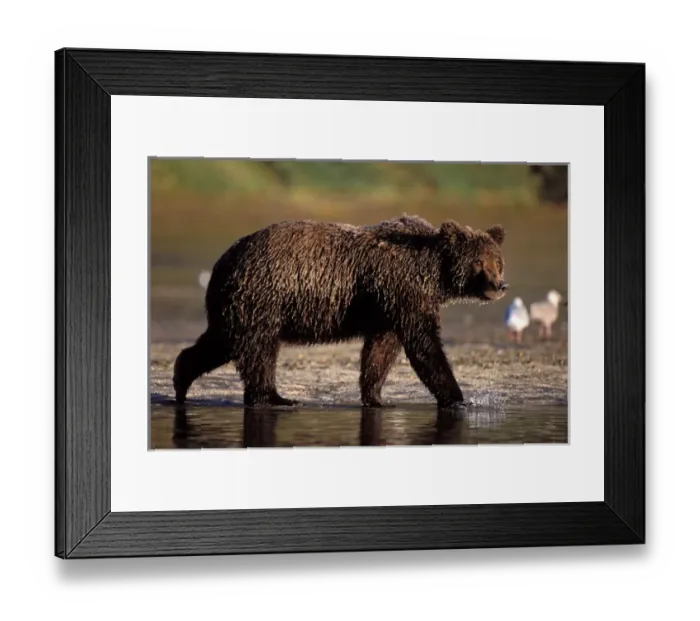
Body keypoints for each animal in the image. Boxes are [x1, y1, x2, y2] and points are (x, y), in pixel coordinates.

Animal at [173, 215, 508, 409]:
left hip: (237, 305)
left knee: (221, 342)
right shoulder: (403, 288)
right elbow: (424, 345)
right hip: (263, 294)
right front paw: (458, 398)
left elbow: (380, 351)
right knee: (258, 350)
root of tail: (223, 261)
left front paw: (376, 397)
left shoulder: (388, 306)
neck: (435, 273)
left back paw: (181, 379)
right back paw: (276, 397)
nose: (500, 285)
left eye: (498, 261)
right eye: (479, 262)